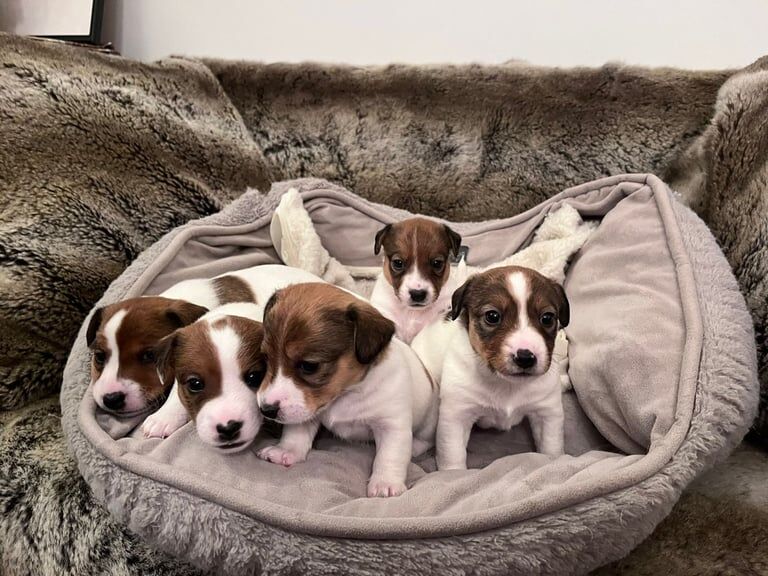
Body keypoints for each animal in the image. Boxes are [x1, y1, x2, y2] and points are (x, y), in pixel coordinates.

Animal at [256, 282, 438, 496]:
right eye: (266, 358)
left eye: (309, 366)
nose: (266, 410)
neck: (347, 392)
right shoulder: (306, 411)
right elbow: (296, 433)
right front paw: (286, 450)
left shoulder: (392, 426)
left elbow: (389, 456)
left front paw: (385, 483)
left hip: (428, 423)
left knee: (425, 440)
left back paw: (415, 447)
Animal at [432, 264, 568, 468]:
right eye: (492, 316)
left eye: (547, 318)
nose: (525, 357)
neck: (506, 384)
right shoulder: (456, 415)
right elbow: (452, 455)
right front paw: (453, 472)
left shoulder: (547, 413)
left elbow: (551, 447)